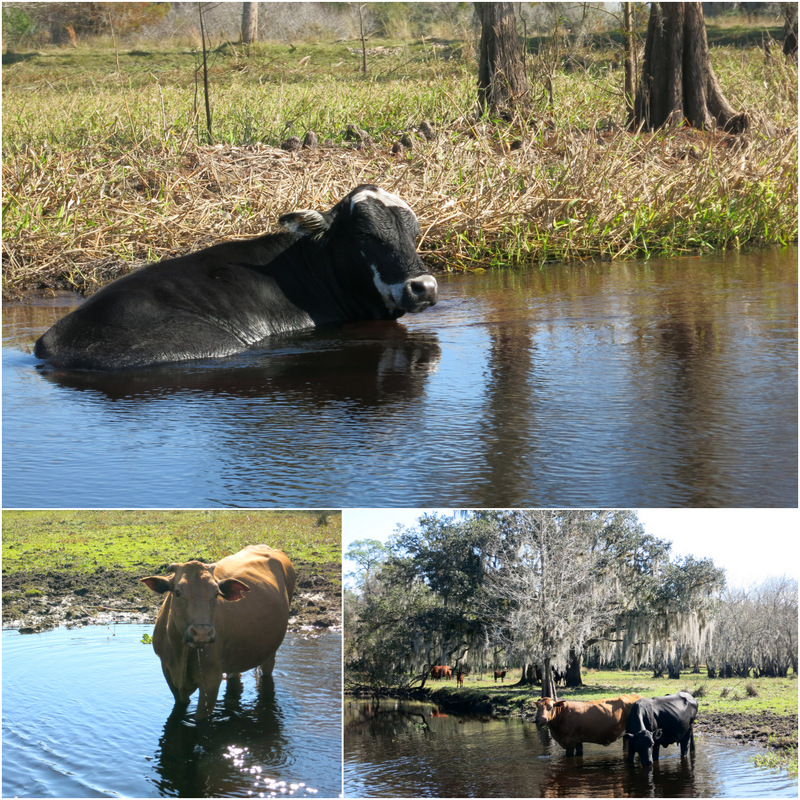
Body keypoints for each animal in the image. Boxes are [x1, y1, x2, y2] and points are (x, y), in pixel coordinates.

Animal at [141, 544, 296, 720]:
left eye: (216, 593)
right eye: (178, 592)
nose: (202, 632)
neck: (181, 653)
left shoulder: (211, 680)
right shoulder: (167, 670)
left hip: (270, 650)